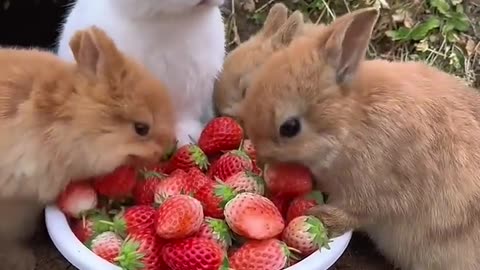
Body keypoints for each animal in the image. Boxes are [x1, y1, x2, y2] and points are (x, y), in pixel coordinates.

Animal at [242, 6, 480, 270]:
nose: (261, 158)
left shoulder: (378, 191)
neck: (349, 122)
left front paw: (321, 217)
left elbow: (360, 213)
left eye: (290, 128)